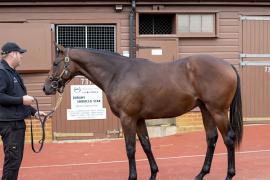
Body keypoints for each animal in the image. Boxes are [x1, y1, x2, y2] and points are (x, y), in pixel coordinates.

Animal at [43, 44, 243, 180]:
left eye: (55, 63)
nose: (46, 87)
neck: (117, 73)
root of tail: (228, 65)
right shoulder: (138, 119)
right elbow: (146, 145)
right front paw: (153, 173)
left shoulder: (127, 119)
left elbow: (130, 148)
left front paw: (132, 177)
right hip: (206, 109)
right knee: (211, 138)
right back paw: (201, 173)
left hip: (218, 111)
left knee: (228, 139)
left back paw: (229, 175)